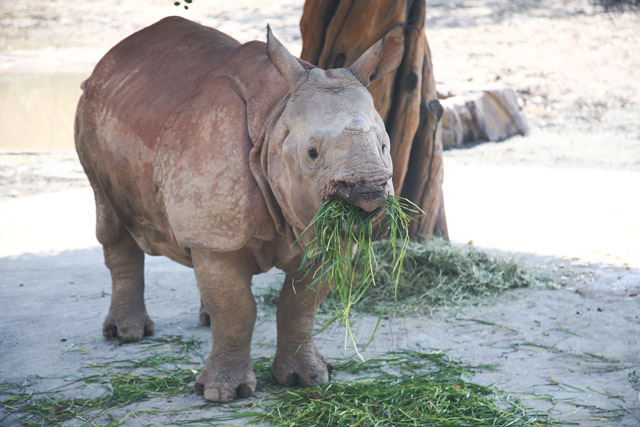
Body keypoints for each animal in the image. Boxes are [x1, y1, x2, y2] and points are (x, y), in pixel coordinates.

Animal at [75, 16, 404, 402]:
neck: (276, 117)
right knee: (112, 220)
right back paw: (127, 335)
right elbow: (237, 308)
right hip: (88, 116)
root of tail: (109, 58)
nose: (368, 195)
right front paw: (221, 394)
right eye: (311, 153)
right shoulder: (221, 226)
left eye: (384, 147)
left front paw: (308, 378)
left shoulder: (319, 230)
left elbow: (300, 305)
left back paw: (204, 320)